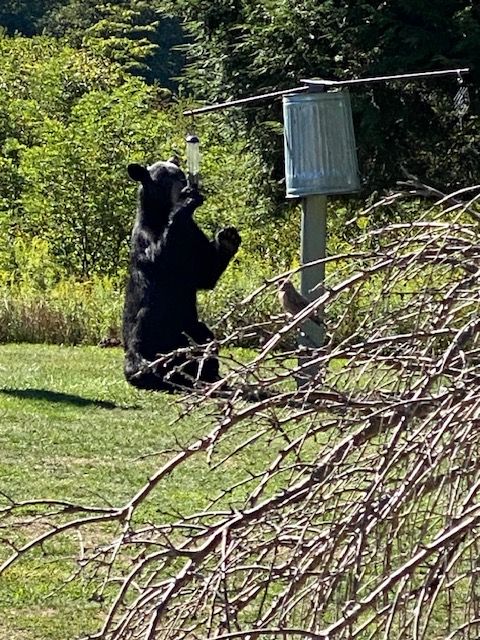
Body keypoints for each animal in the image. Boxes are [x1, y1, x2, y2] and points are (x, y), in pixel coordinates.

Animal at [122, 157, 241, 391]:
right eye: (168, 178)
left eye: (181, 175)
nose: (186, 182)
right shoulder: (145, 238)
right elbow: (161, 255)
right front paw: (188, 201)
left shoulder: (193, 236)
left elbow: (205, 272)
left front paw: (228, 237)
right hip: (145, 334)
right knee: (141, 346)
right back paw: (154, 373)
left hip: (189, 327)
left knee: (204, 337)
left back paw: (205, 375)